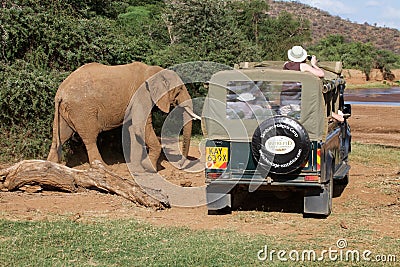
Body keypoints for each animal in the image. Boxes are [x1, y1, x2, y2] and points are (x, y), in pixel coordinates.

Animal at [46, 61, 197, 173]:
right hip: (82, 110)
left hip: (65, 111)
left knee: (60, 136)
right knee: (90, 137)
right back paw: (104, 168)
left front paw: (136, 168)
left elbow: (133, 128)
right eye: (179, 90)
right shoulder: (142, 95)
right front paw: (151, 168)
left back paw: (50, 167)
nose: (180, 166)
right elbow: (140, 126)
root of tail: (60, 92)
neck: (153, 70)